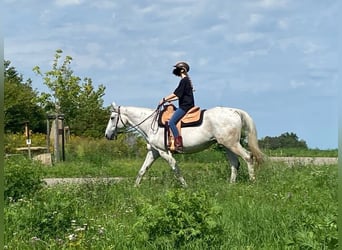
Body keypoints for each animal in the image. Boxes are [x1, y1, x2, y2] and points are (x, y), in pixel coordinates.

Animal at [105, 102, 264, 188]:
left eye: (112, 117)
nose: (107, 135)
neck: (151, 124)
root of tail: (234, 111)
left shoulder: (163, 152)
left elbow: (176, 169)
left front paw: (185, 186)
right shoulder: (154, 152)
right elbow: (142, 170)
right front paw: (135, 188)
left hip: (232, 144)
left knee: (248, 157)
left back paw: (252, 182)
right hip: (226, 146)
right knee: (234, 163)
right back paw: (231, 185)